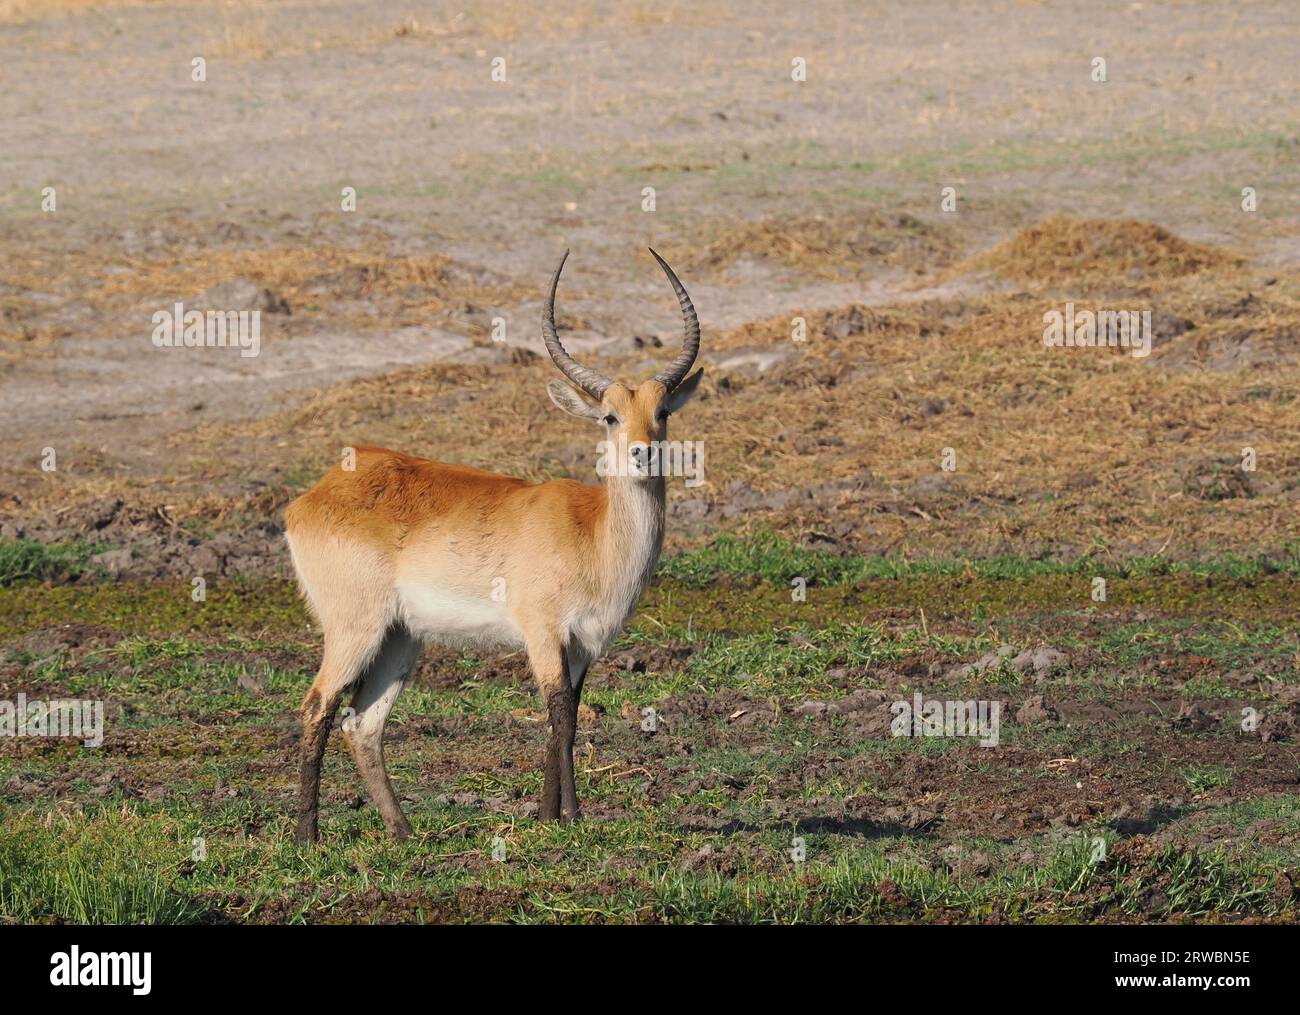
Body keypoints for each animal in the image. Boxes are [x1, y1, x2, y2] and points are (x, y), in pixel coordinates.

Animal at [289, 245, 707, 836]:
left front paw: (551, 814)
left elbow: (568, 718)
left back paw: (403, 833)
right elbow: (559, 714)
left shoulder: (584, 646)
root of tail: (316, 493)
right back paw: (309, 837)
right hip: (355, 629)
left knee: (362, 723)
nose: (643, 453)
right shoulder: (542, 634)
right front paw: (568, 819)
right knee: (317, 706)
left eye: (663, 412)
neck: (593, 536)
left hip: (400, 638)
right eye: (610, 415)